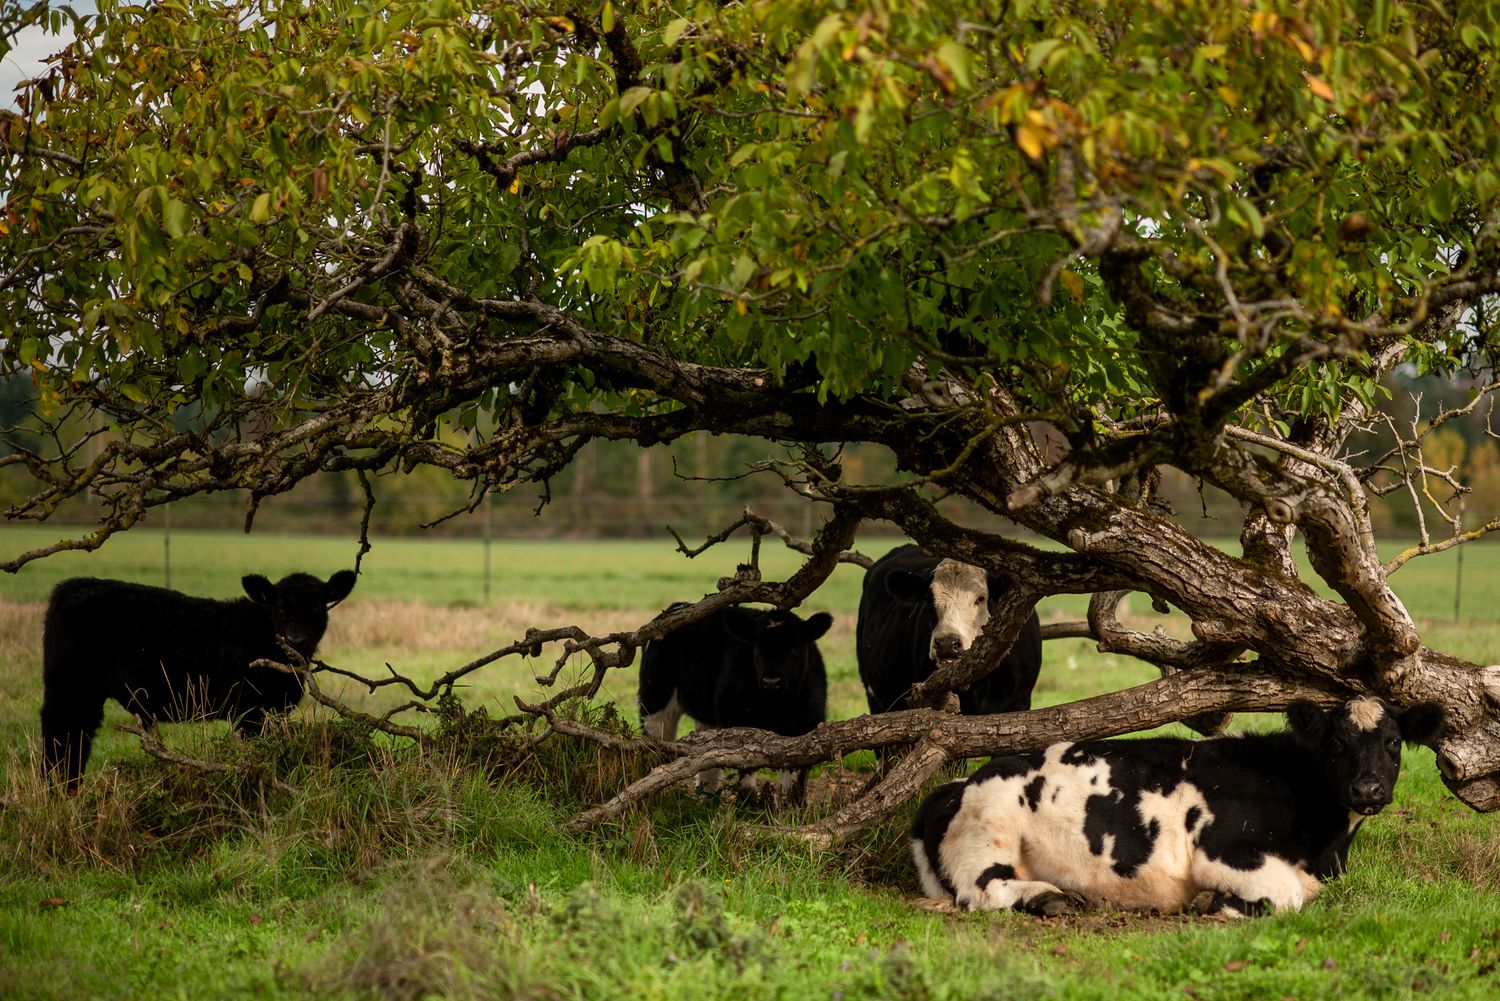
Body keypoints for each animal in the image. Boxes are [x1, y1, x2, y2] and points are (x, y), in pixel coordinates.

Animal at [40, 570, 358, 789]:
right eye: (279, 609)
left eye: (317, 607)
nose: (296, 640)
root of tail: (74, 586)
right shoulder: (253, 711)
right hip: (70, 689)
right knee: (61, 736)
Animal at [638, 602, 833, 802]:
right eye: (757, 648)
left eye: (793, 648)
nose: (771, 682)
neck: (776, 706)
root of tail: (676, 607)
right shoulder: (737, 718)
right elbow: (746, 767)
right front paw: (750, 803)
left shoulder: (805, 726)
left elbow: (795, 777)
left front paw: (792, 806)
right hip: (655, 699)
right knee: (656, 742)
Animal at [910, 697, 1446, 917]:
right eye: (1335, 744)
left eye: (1393, 743)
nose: (1367, 790)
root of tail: (956, 784)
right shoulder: (1225, 852)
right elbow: (1285, 896)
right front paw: (1218, 903)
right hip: (990, 830)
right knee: (982, 891)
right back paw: (1049, 898)